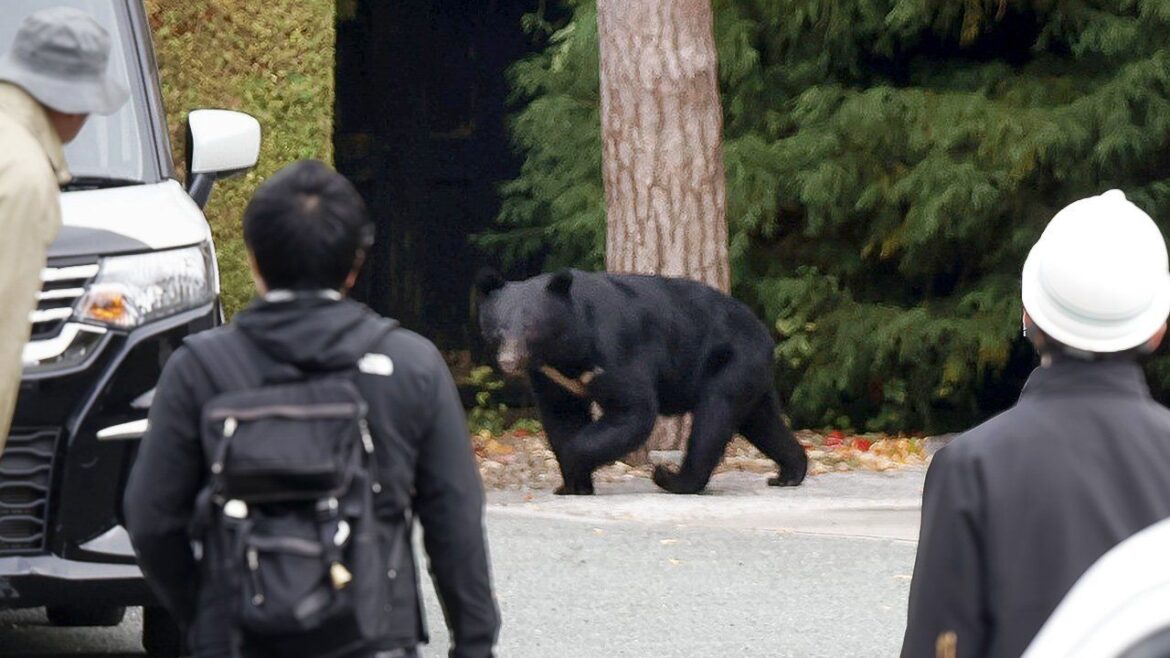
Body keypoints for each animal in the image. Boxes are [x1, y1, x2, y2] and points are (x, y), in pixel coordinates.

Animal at [474, 268, 808, 495]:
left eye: (531, 329)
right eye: (498, 330)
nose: (509, 361)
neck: (569, 349)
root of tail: (765, 334)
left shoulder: (614, 349)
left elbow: (633, 410)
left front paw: (574, 464)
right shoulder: (550, 375)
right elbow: (562, 415)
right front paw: (573, 485)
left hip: (730, 361)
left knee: (714, 417)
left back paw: (672, 478)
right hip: (749, 375)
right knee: (762, 421)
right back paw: (789, 472)